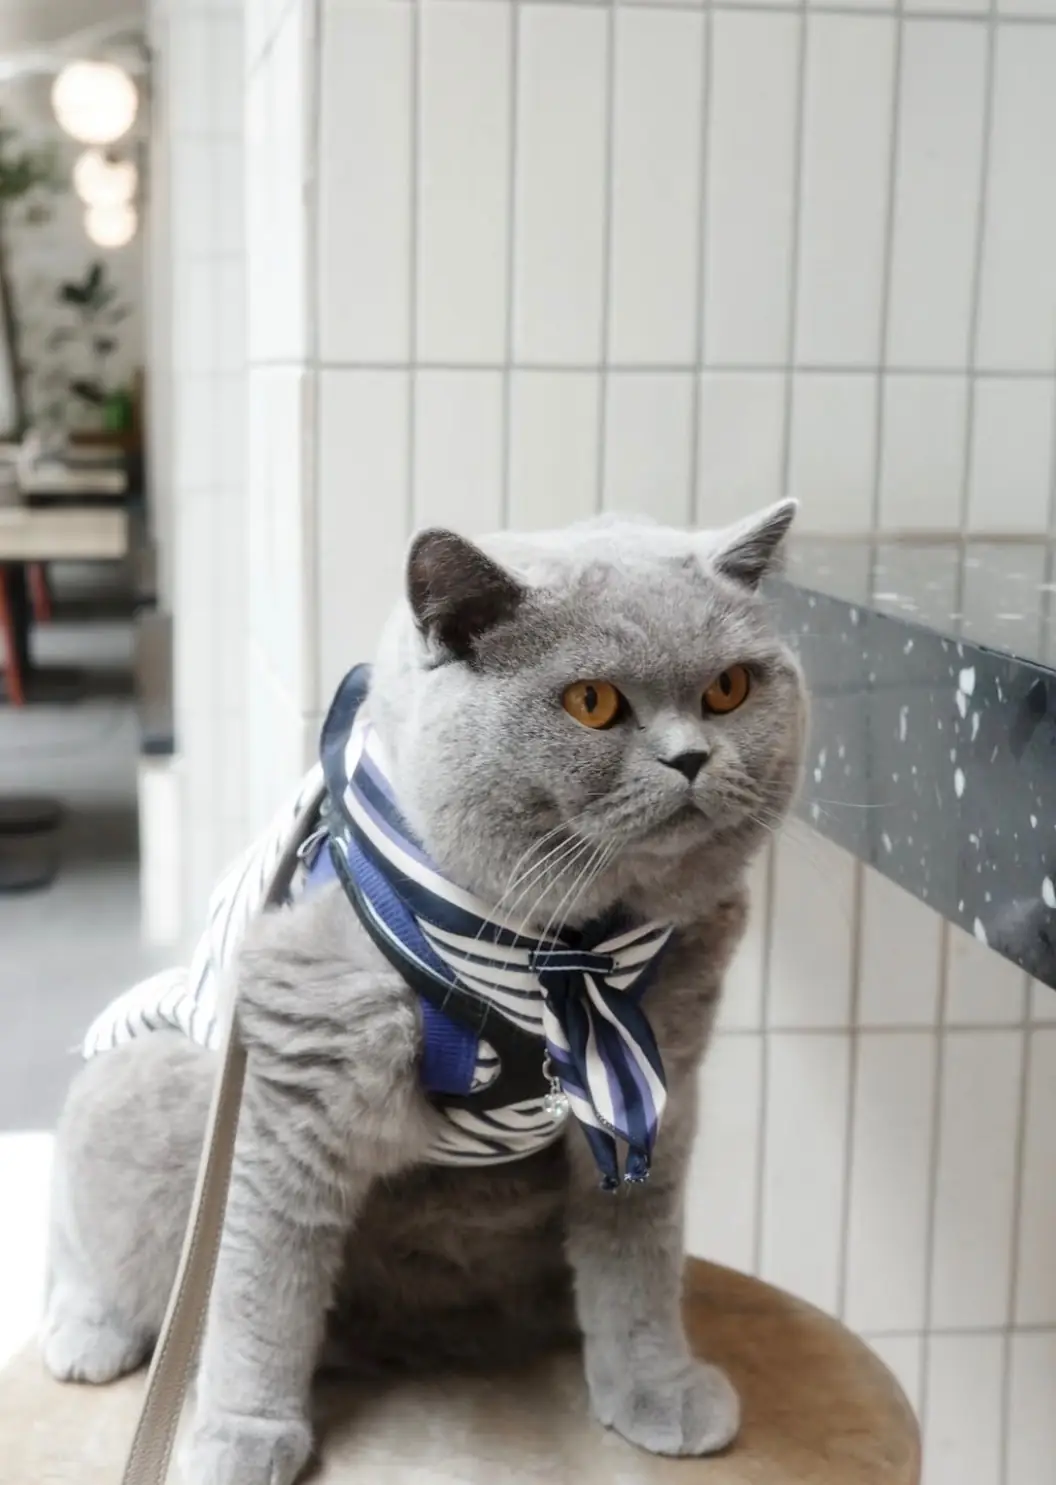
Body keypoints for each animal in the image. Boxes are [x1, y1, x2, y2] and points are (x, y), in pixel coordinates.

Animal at [41, 505, 807, 1485]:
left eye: (729, 688)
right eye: (592, 702)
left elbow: (638, 1259)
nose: (692, 757)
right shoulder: (291, 1090)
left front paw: (658, 1389)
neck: (567, 961)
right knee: (103, 1244)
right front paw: (240, 1435)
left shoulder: (659, 1087)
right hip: (150, 1078)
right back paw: (87, 1333)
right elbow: (259, 1284)